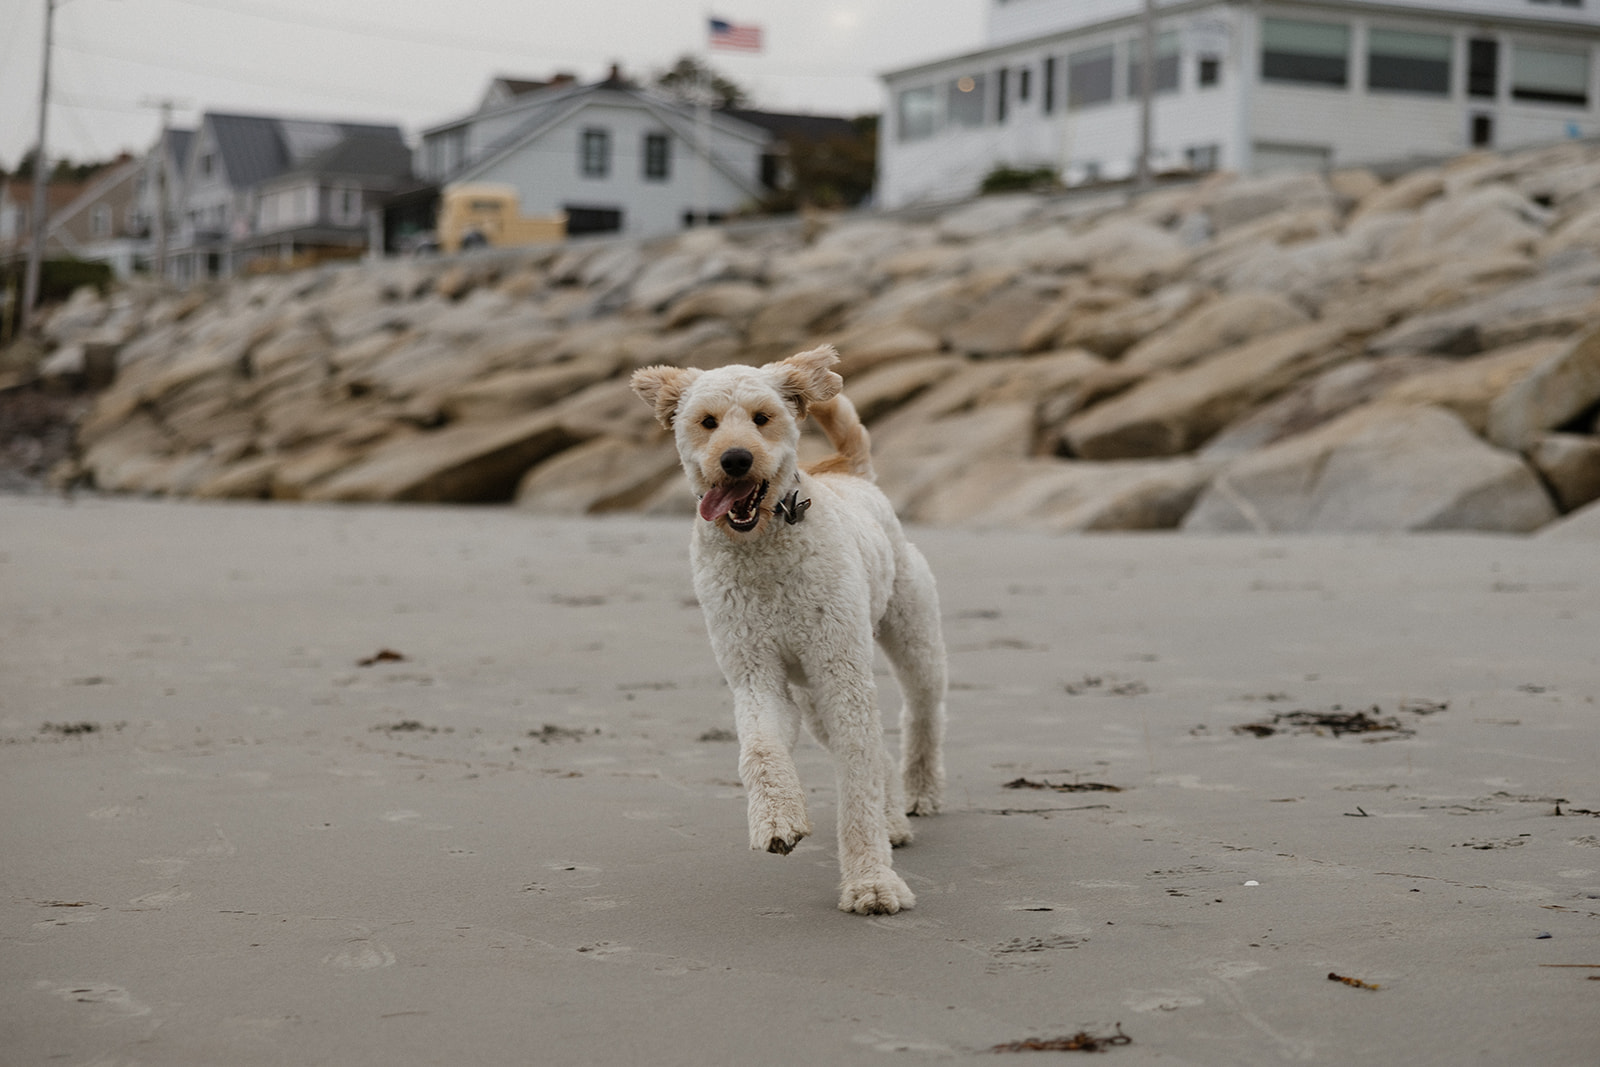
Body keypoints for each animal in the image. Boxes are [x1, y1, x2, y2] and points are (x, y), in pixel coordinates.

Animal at [630, 347, 940, 915]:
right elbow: (760, 751)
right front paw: (778, 822)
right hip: (813, 693)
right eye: (707, 422)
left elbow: (856, 785)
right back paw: (892, 821)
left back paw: (920, 795)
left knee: (922, 714)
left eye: (762, 417)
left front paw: (871, 882)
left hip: (914, 641)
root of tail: (850, 472)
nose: (735, 459)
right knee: (877, 752)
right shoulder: (756, 674)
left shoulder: (842, 676)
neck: (763, 548)